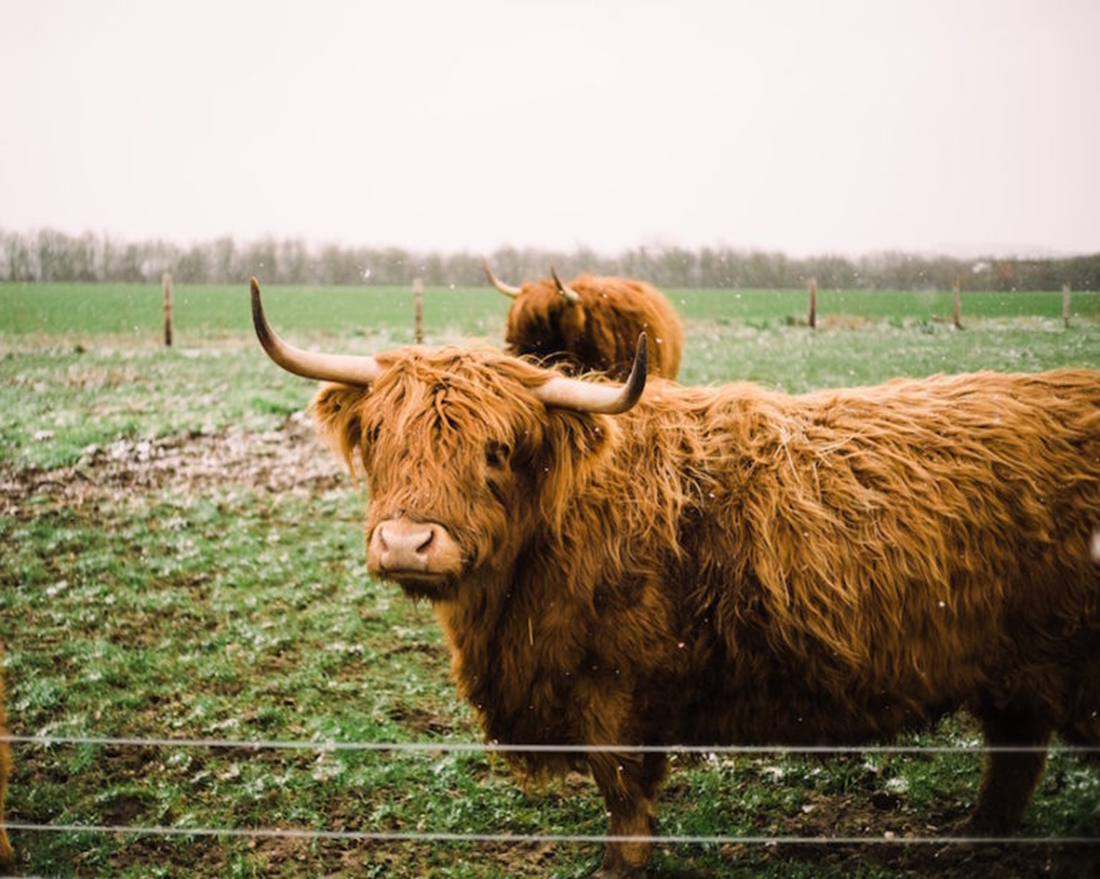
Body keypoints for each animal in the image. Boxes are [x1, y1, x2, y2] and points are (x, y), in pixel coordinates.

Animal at [251, 278, 1100, 876]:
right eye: (378, 435)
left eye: (496, 449)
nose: (406, 542)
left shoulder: (615, 687)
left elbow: (623, 787)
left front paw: (617, 865)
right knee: (1014, 752)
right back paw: (974, 837)